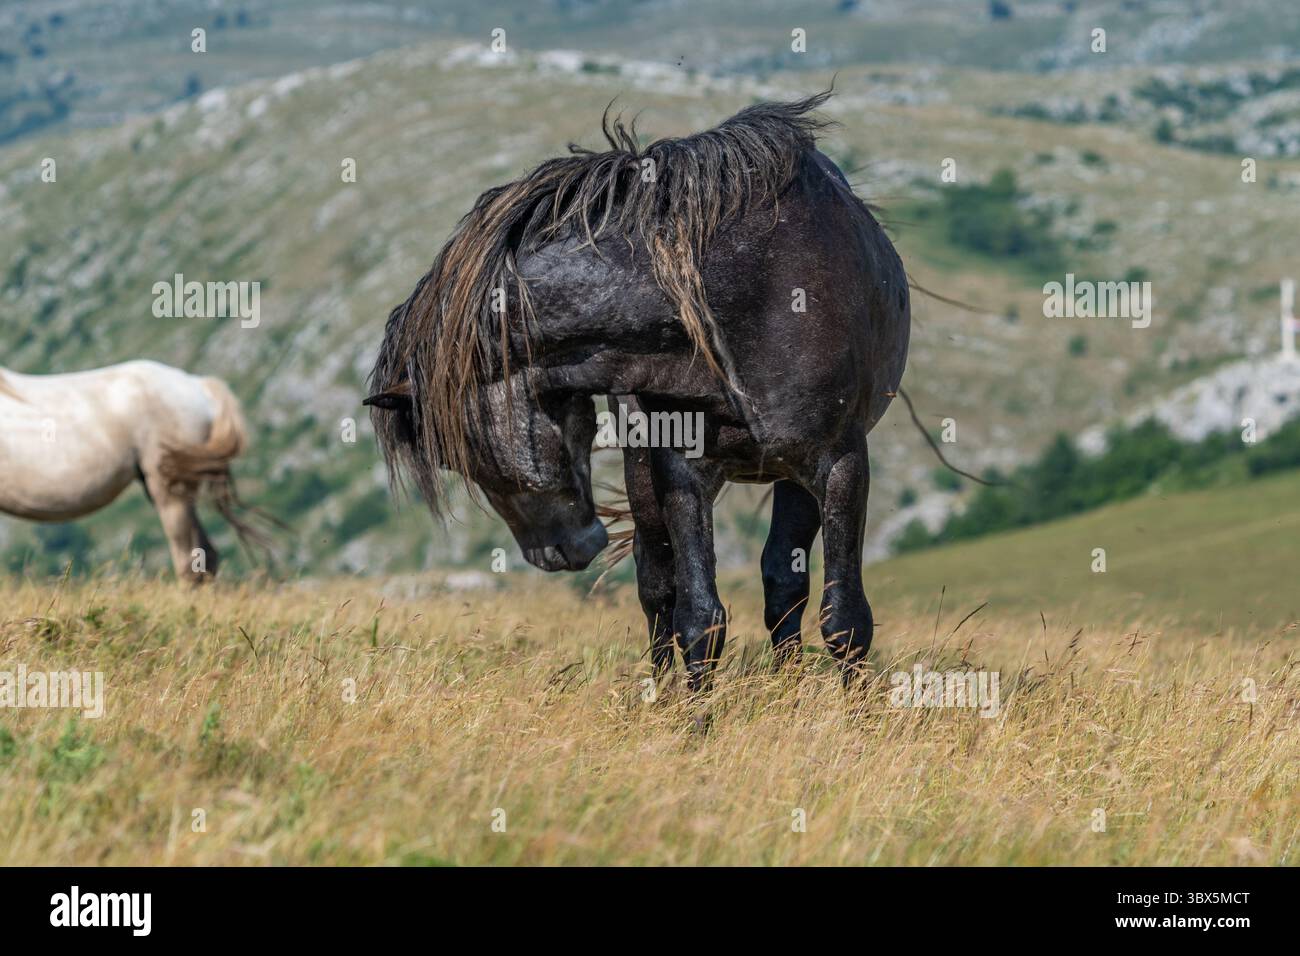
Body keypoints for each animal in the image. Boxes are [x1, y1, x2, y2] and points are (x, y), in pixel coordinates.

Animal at [367, 91, 910, 691]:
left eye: (458, 457)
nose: (560, 553)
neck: (748, 296)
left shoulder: (840, 464)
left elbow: (845, 618)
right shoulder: (681, 471)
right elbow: (696, 615)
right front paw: (693, 712)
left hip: (793, 474)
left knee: (781, 580)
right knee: (660, 585)